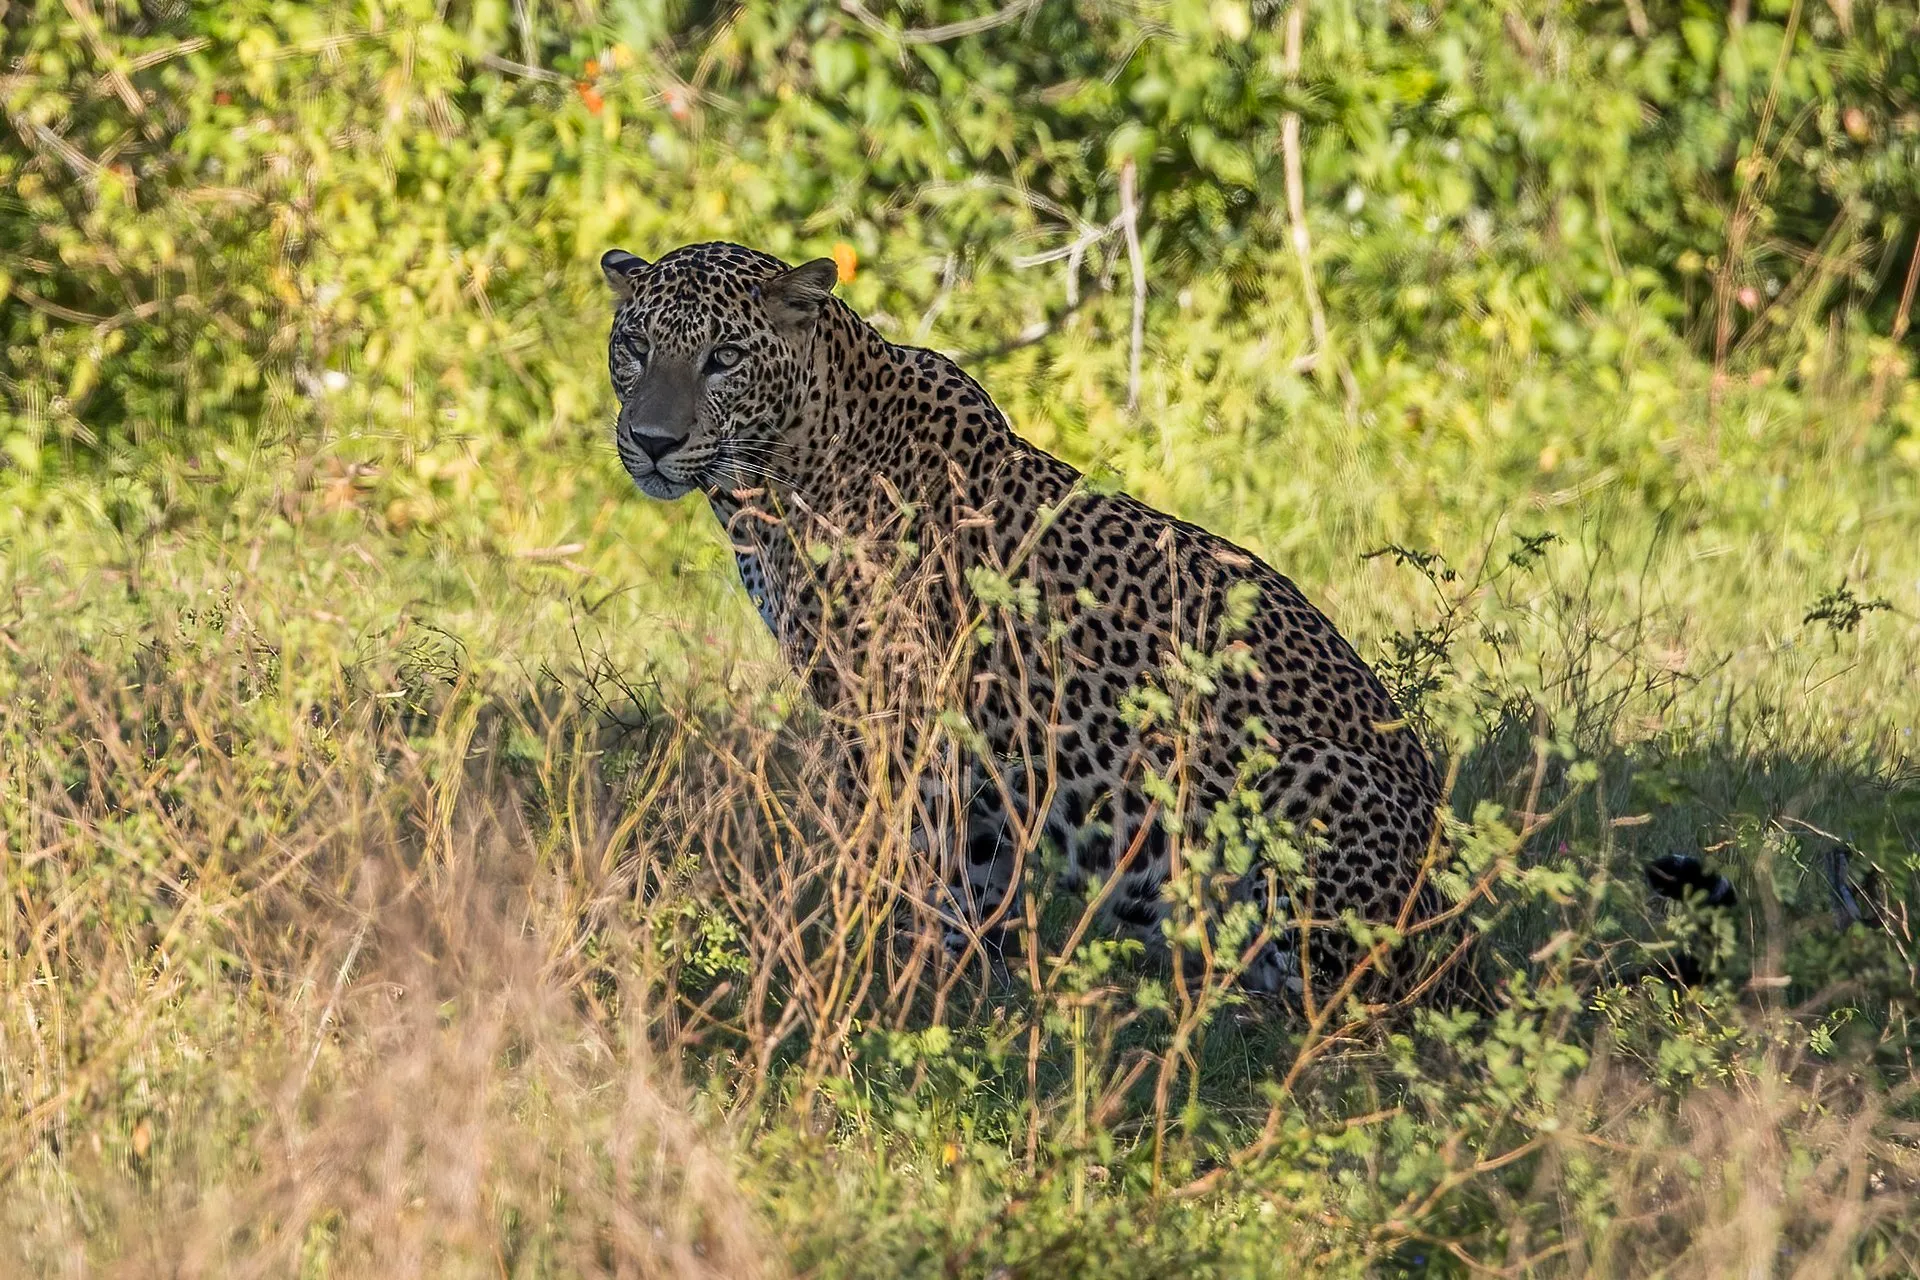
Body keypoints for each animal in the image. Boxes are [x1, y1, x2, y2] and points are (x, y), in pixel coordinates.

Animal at [599, 240, 1462, 1008]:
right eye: (635, 347)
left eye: (724, 357)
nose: (651, 442)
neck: (772, 480)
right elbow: (971, 876)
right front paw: (977, 990)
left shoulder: (899, 708)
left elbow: (910, 858)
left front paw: (900, 991)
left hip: (1304, 785)